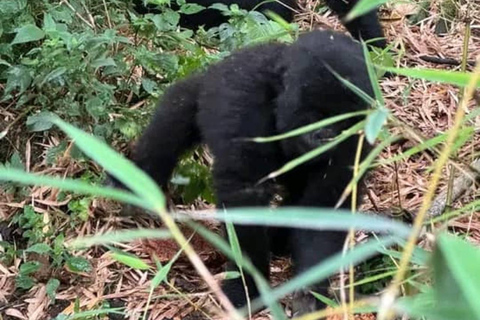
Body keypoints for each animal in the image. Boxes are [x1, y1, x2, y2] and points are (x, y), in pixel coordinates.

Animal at [111, 30, 376, 316]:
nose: (324, 135)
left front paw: (311, 290)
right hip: (203, 87)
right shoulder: (248, 99)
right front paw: (246, 287)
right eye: (313, 111)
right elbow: (246, 192)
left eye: (339, 119)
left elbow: (326, 205)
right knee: (173, 119)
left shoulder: (359, 133)